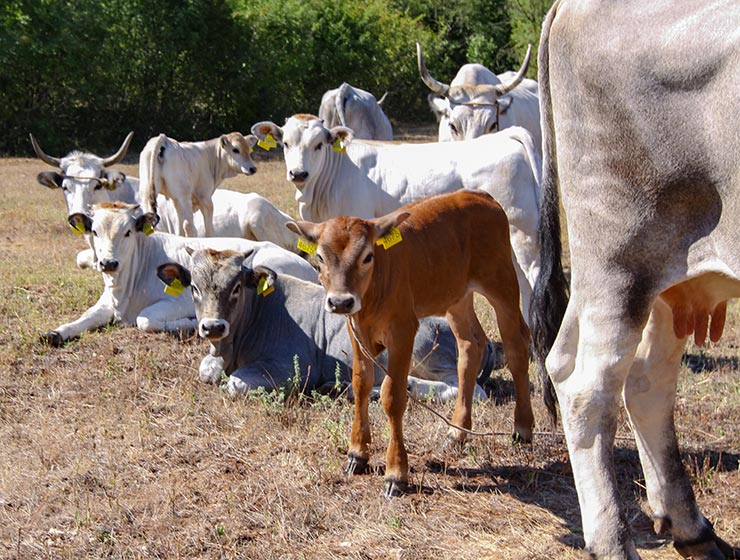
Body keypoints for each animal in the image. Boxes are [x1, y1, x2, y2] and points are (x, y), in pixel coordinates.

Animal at [41, 202, 317, 347]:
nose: (108, 263)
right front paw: (55, 333)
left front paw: (189, 324)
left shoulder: (177, 300)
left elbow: (145, 319)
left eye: (128, 232)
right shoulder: (107, 302)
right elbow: (85, 317)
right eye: (95, 232)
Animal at [157, 248, 499, 402]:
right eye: (194, 287)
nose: (213, 326)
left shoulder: (289, 367)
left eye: (237, 287)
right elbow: (207, 370)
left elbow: (234, 384)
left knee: (470, 390)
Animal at [251, 115, 541, 322]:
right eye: (285, 143)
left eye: (318, 145)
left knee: (534, 276)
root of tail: (506, 135)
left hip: (523, 230)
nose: (298, 173)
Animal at [287, 190, 533, 497]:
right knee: (471, 345)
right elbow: (361, 383)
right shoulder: (356, 332)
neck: (373, 292)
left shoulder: (403, 331)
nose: (341, 301)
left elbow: (393, 396)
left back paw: (522, 428)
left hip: (502, 284)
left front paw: (396, 473)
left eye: (367, 257)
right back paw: (456, 432)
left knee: (516, 347)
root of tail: (479, 195)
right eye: (320, 256)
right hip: (456, 296)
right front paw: (357, 454)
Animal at [531, 1, 740, 558]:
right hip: (619, 255)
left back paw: (691, 527)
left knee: (644, 379)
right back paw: (613, 541)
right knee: (588, 386)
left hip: (664, 268)